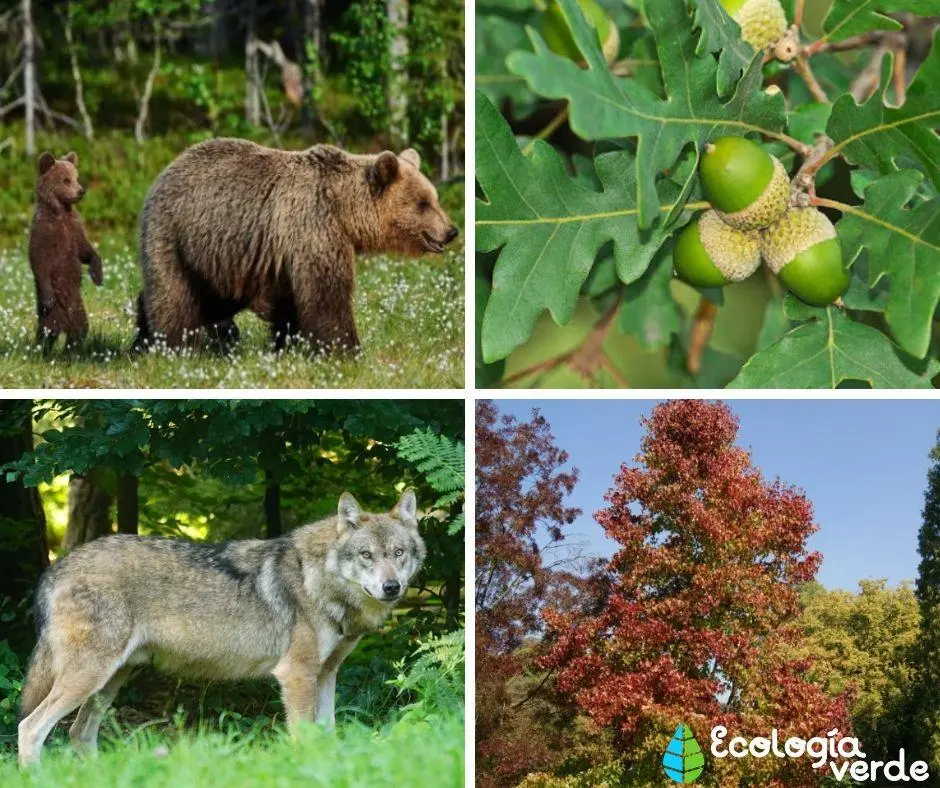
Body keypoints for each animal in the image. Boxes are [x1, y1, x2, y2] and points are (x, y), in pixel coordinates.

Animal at [16, 490, 426, 768]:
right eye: (367, 556)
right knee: (30, 728)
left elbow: (328, 735)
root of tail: (56, 568)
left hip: (110, 681)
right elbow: (304, 738)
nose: (392, 587)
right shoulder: (296, 675)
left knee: (78, 733)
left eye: (399, 553)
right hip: (89, 678)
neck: (319, 580)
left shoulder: (326, 675)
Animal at [28, 151, 102, 350]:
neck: (60, 212)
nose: (81, 191)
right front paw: (48, 297)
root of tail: (65, 322)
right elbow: (40, 260)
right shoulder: (44, 231)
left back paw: (70, 350)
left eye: (76, 177)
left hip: (77, 306)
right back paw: (41, 350)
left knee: (80, 328)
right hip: (53, 310)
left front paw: (97, 274)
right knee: (48, 329)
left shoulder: (74, 228)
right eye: (65, 180)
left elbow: (85, 251)